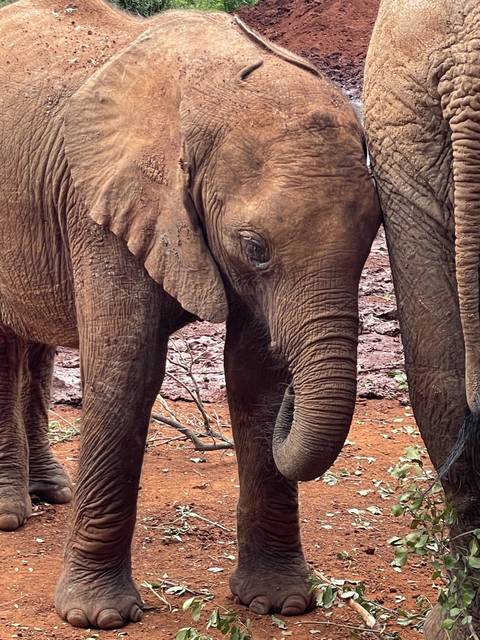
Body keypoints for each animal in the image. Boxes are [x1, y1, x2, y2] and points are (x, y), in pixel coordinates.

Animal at [0, 0, 380, 631]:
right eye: (255, 247)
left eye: (376, 234)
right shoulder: (104, 206)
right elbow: (127, 372)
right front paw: (99, 618)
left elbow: (254, 377)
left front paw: (278, 603)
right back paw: (10, 512)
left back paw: (52, 493)